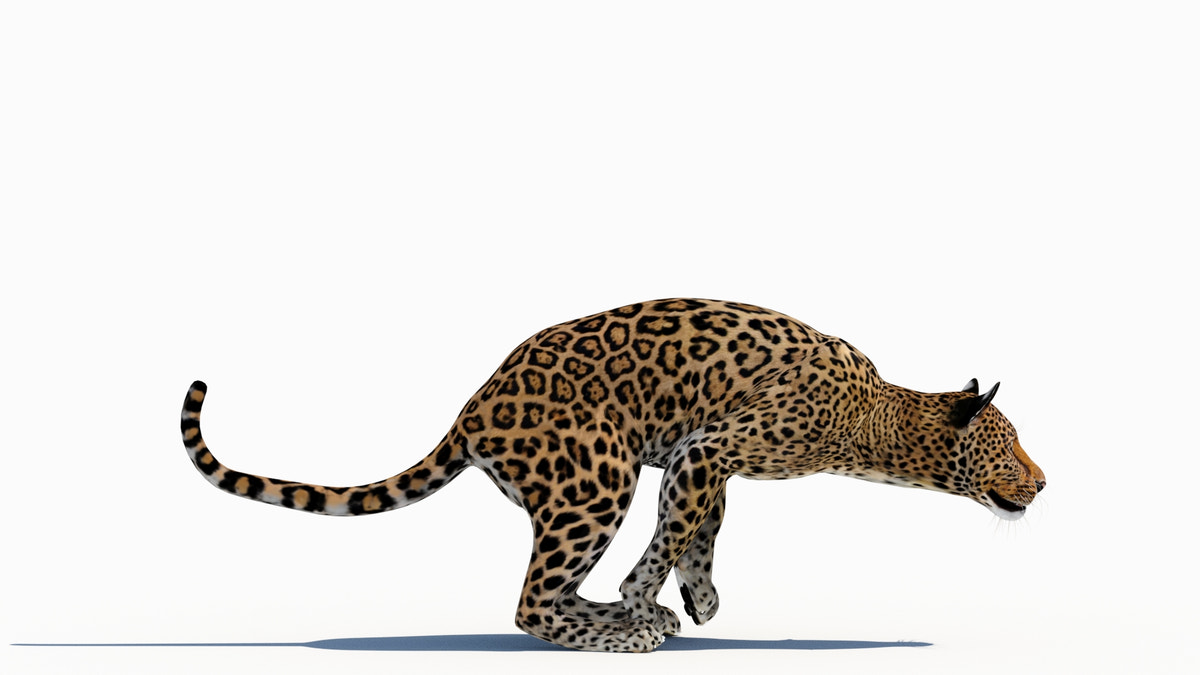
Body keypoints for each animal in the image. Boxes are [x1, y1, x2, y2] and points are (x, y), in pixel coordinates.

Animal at [179, 298, 1045, 652]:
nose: (1043, 483)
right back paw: (619, 630)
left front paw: (696, 594)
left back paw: (611, 611)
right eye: (1010, 446)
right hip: (596, 474)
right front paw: (642, 598)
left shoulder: (700, 454)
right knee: (531, 601)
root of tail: (471, 409)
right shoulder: (708, 449)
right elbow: (671, 534)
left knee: (550, 588)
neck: (874, 418)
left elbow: (701, 525)